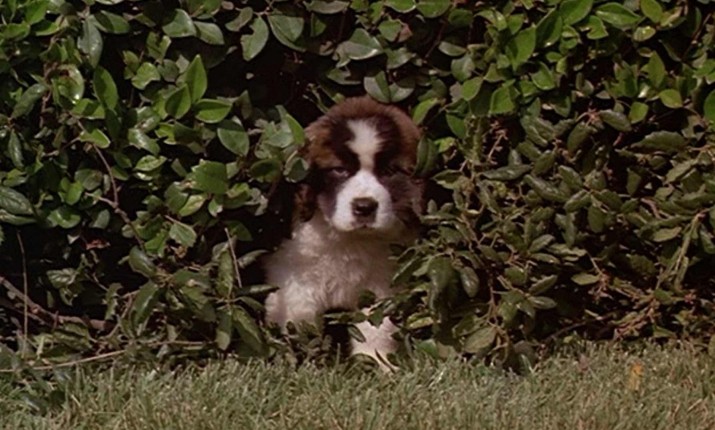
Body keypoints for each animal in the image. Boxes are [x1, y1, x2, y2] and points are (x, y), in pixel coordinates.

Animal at [264, 96, 423, 370]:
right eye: (339, 170)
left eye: (389, 172)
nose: (364, 207)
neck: (350, 239)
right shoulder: (293, 277)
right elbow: (298, 321)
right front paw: (302, 361)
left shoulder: (381, 282)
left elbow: (376, 327)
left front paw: (377, 363)